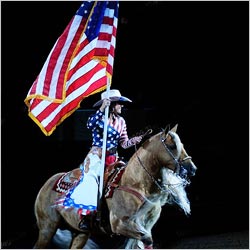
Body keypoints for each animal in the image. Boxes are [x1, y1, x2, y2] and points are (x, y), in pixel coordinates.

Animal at [33, 124, 197, 249]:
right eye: (172, 146)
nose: (192, 168)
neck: (134, 183)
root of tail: (48, 183)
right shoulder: (119, 224)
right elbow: (145, 238)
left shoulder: (145, 224)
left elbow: (146, 240)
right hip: (47, 228)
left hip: (80, 234)